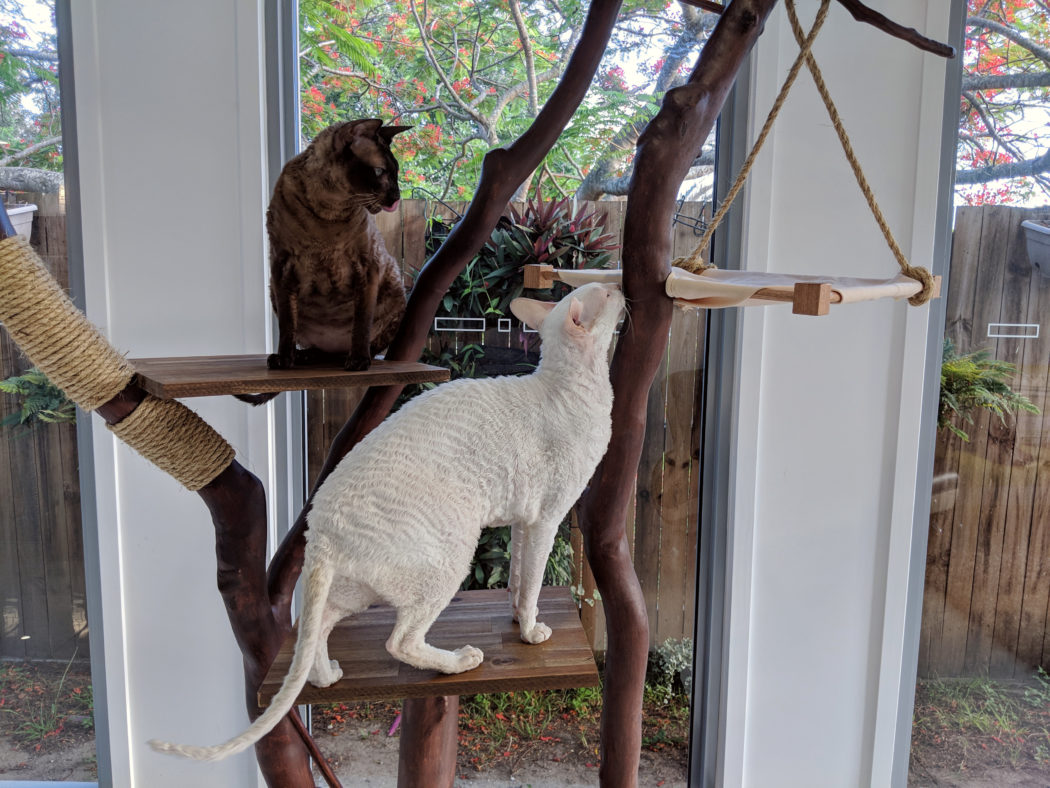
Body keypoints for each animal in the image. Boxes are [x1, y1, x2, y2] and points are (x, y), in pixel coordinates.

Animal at [149, 281, 621, 760]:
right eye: (605, 294)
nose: (619, 285)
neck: (573, 386)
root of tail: (320, 525)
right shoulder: (546, 518)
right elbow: (532, 583)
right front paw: (529, 630)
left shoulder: (523, 521)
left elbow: (518, 577)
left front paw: (512, 615)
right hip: (451, 554)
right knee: (400, 641)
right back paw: (459, 661)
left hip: (358, 586)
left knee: (317, 626)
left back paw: (326, 675)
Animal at [240, 121, 411, 407]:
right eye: (380, 172)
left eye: (396, 172)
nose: (396, 197)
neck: (329, 209)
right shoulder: (281, 265)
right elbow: (286, 325)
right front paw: (283, 360)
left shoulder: (368, 267)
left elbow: (361, 324)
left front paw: (358, 362)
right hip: (274, 291)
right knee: (310, 344)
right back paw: (302, 356)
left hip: (396, 292)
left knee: (356, 345)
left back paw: (348, 357)